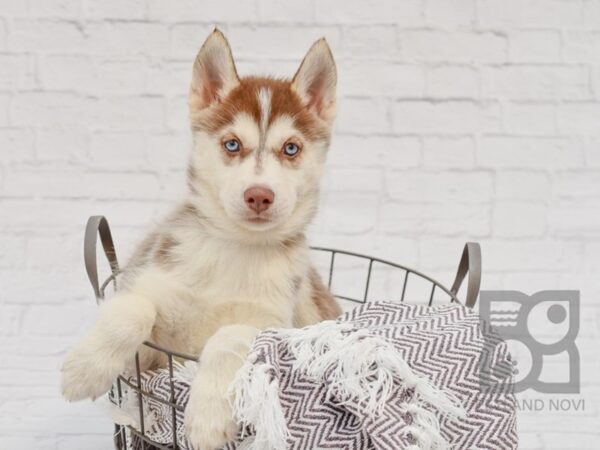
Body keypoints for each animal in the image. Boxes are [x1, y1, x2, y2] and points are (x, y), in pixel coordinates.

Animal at [62, 29, 342, 448]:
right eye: (232, 144)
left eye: (291, 148)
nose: (259, 196)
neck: (235, 247)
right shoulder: (152, 323)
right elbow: (132, 308)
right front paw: (85, 368)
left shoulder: (273, 324)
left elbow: (228, 336)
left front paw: (207, 417)